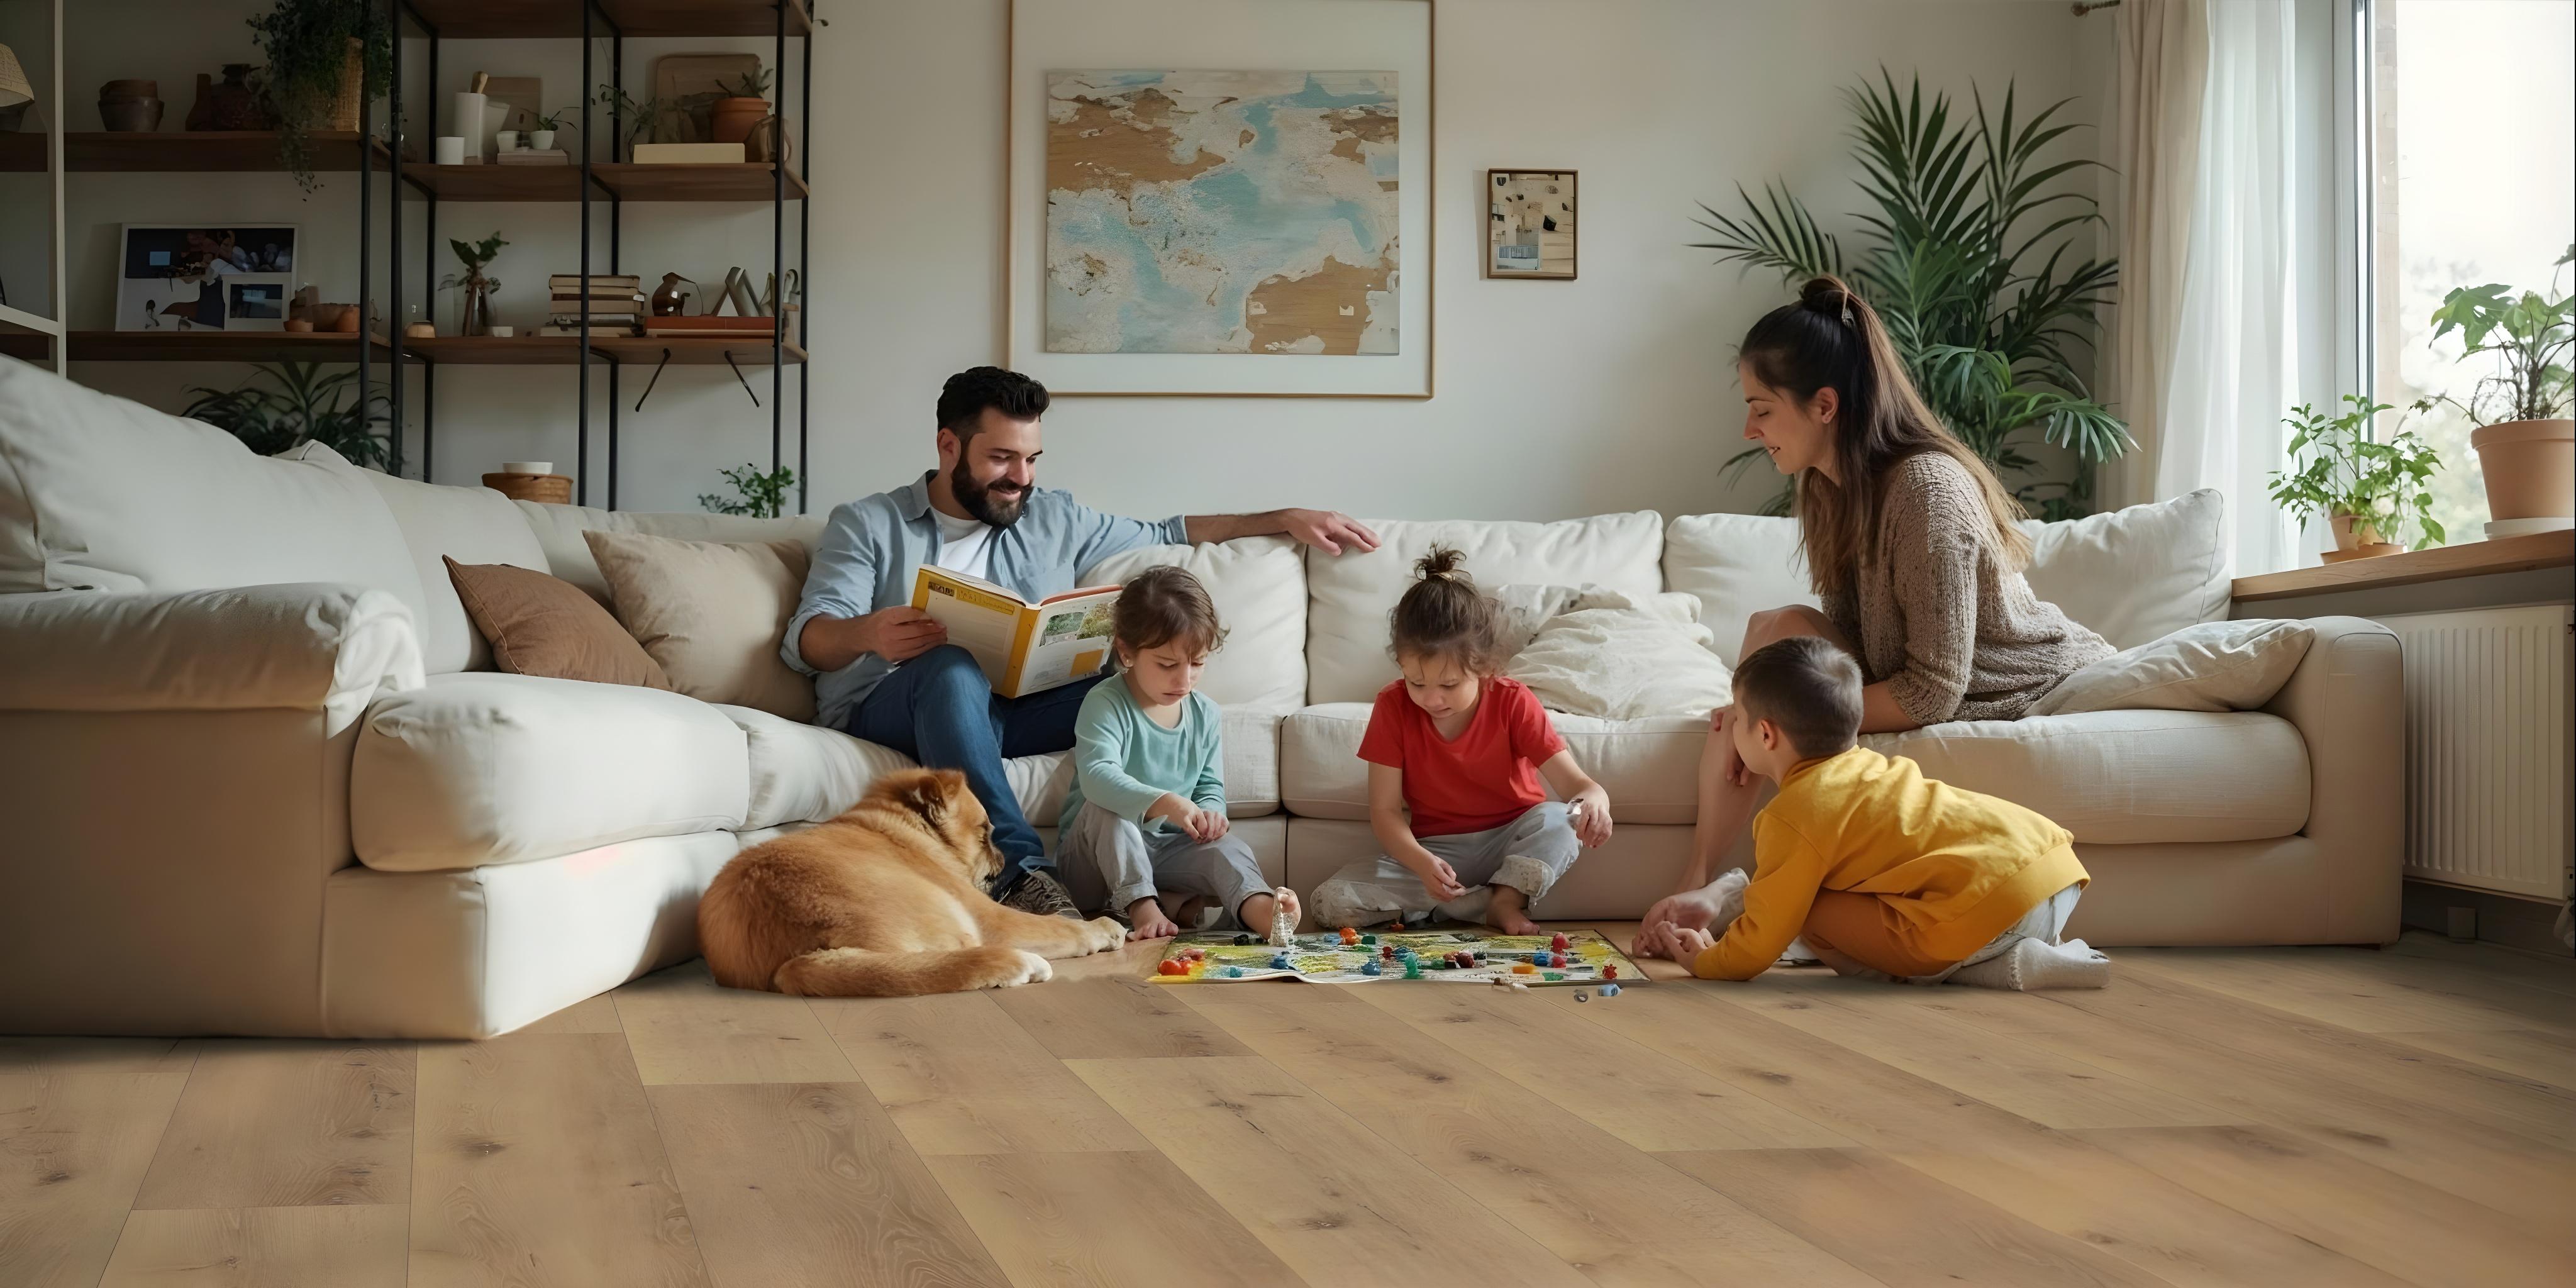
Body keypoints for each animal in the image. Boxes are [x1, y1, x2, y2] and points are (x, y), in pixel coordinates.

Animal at [701, 762, 1123, 994]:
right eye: (986, 832)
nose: (1004, 860)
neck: (903, 825)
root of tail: (795, 960)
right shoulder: (990, 916)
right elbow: (1065, 927)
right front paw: (1105, 929)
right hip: (961, 926)